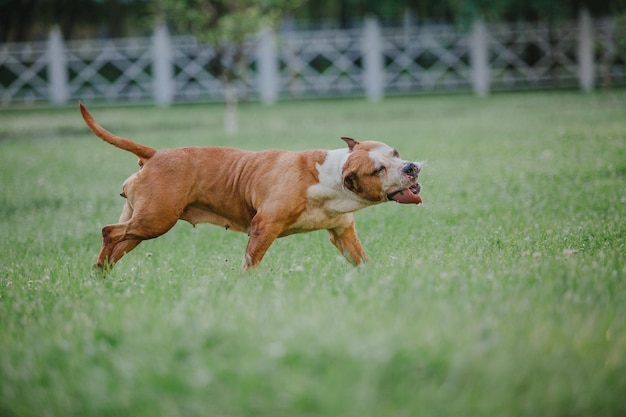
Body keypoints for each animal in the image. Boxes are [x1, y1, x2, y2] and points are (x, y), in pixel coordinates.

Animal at [77, 101, 420, 270]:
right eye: (378, 169)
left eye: (395, 153)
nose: (411, 167)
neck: (330, 176)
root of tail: (155, 154)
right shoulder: (264, 226)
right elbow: (250, 262)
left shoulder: (343, 233)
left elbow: (362, 261)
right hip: (155, 221)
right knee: (109, 232)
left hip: (142, 224)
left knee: (117, 242)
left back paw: (102, 274)